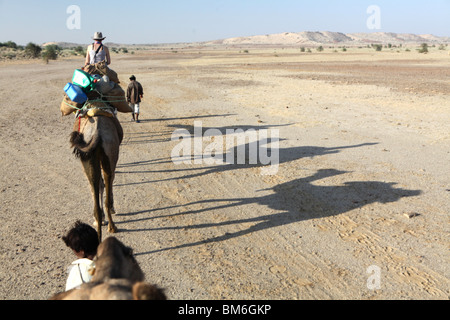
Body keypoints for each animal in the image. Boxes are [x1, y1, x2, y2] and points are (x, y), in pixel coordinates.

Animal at [70, 112, 123, 240]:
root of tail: (97, 134)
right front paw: (112, 209)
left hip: (88, 158)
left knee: (95, 185)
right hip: (109, 157)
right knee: (106, 183)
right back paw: (111, 226)